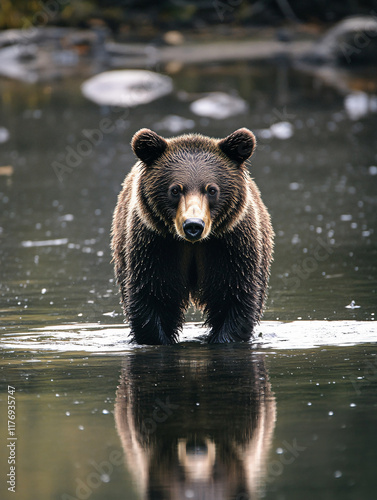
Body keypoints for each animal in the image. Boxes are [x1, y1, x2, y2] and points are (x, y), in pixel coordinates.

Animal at [110, 127, 272, 344]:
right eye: (175, 189)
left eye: (212, 189)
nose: (193, 225)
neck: (193, 245)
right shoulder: (154, 246)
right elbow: (151, 297)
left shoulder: (231, 246)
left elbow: (236, 298)